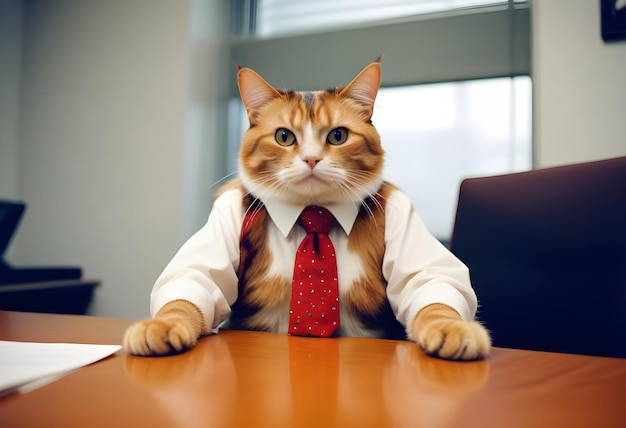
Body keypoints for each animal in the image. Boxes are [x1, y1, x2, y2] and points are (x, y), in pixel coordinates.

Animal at [124, 59, 490, 362]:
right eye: (284, 137)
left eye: (338, 135)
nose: (312, 159)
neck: (313, 215)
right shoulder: (223, 217)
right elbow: (189, 285)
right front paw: (162, 325)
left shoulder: (404, 216)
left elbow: (434, 287)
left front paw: (451, 329)